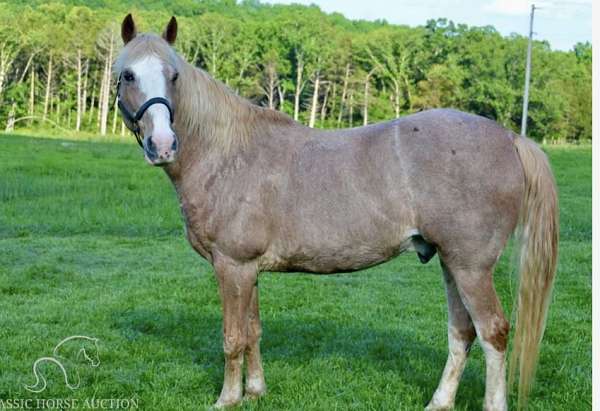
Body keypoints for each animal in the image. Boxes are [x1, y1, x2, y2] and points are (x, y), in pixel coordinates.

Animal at [112, 14, 556, 410]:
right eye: (128, 75)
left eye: (173, 75)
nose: (163, 144)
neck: (228, 153)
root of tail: (510, 138)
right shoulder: (248, 270)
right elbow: (253, 331)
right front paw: (255, 391)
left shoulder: (232, 266)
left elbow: (233, 337)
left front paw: (228, 399)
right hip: (452, 264)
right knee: (462, 332)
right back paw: (439, 402)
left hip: (472, 268)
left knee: (493, 332)